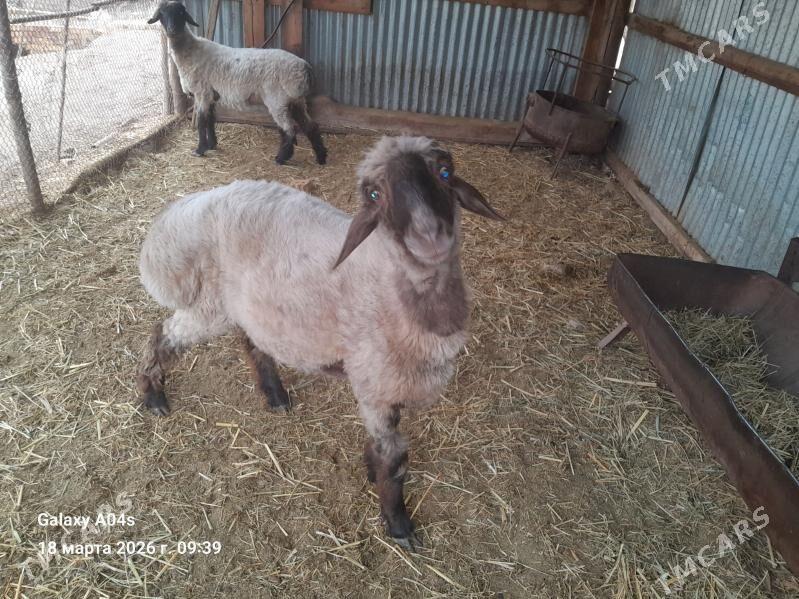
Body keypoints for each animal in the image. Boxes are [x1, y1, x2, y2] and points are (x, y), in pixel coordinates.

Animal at [136, 136, 503, 549]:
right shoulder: (374, 384)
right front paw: (398, 524)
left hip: (246, 306)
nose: (429, 237)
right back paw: (153, 394)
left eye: (445, 172)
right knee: (164, 333)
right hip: (209, 305)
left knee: (250, 340)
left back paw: (274, 394)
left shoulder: (388, 387)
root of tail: (185, 209)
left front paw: (371, 472)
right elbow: (393, 459)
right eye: (374, 194)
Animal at [147, 0, 327, 165]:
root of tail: (305, 68)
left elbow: (201, 121)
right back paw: (321, 157)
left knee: (289, 130)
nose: (172, 30)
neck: (190, 51)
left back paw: (281, 158)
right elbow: (211, 119)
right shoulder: (211, 94)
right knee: (310, 126)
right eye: (161, 15)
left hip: (277, 99)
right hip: (296, 99)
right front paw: (212, 145)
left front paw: (200, 150)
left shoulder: (202, 92)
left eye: (180, 13)